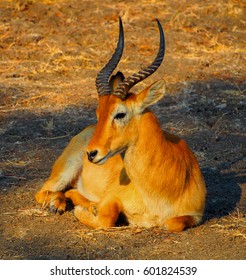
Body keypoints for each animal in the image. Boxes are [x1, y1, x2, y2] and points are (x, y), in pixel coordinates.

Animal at [35, 18, 207, 232]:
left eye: (120, 113)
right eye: (98, 113)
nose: (91, 153)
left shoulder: (194, 215)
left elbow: (172, 223)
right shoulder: (112, 198)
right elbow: (106, 219)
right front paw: (84, 210)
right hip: (65, 170)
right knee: (44, 191)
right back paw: (61, 205)